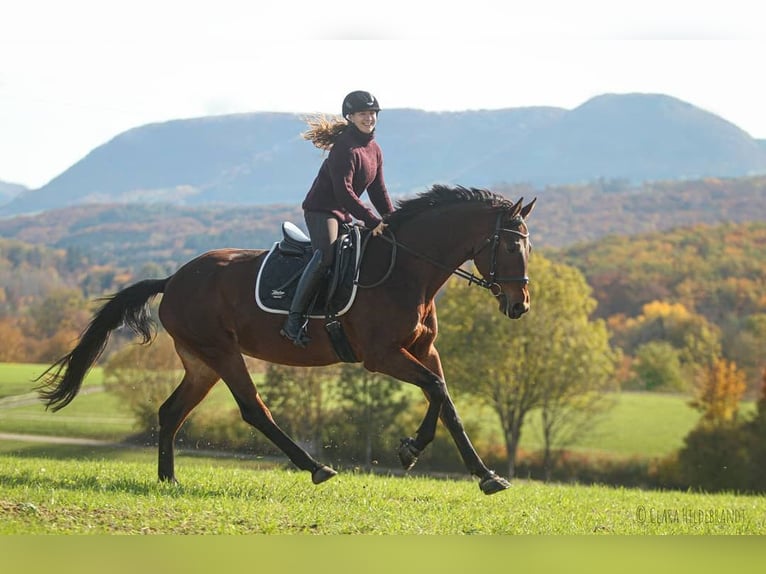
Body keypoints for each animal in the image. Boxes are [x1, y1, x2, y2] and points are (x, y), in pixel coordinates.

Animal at [36, 184, 536, 496]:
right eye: (513, 246)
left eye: (528, 247)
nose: (520, 306)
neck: (407, 269)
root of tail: (173, 279)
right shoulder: (382, 355)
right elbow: (436, 390)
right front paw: (421, 453)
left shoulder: (421, 349)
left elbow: (444, 398)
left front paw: (473, 470)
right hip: (223, 352)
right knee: (254, 409)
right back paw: (315, 467)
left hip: (201, 363)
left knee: (171, 412)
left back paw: (168, 481)